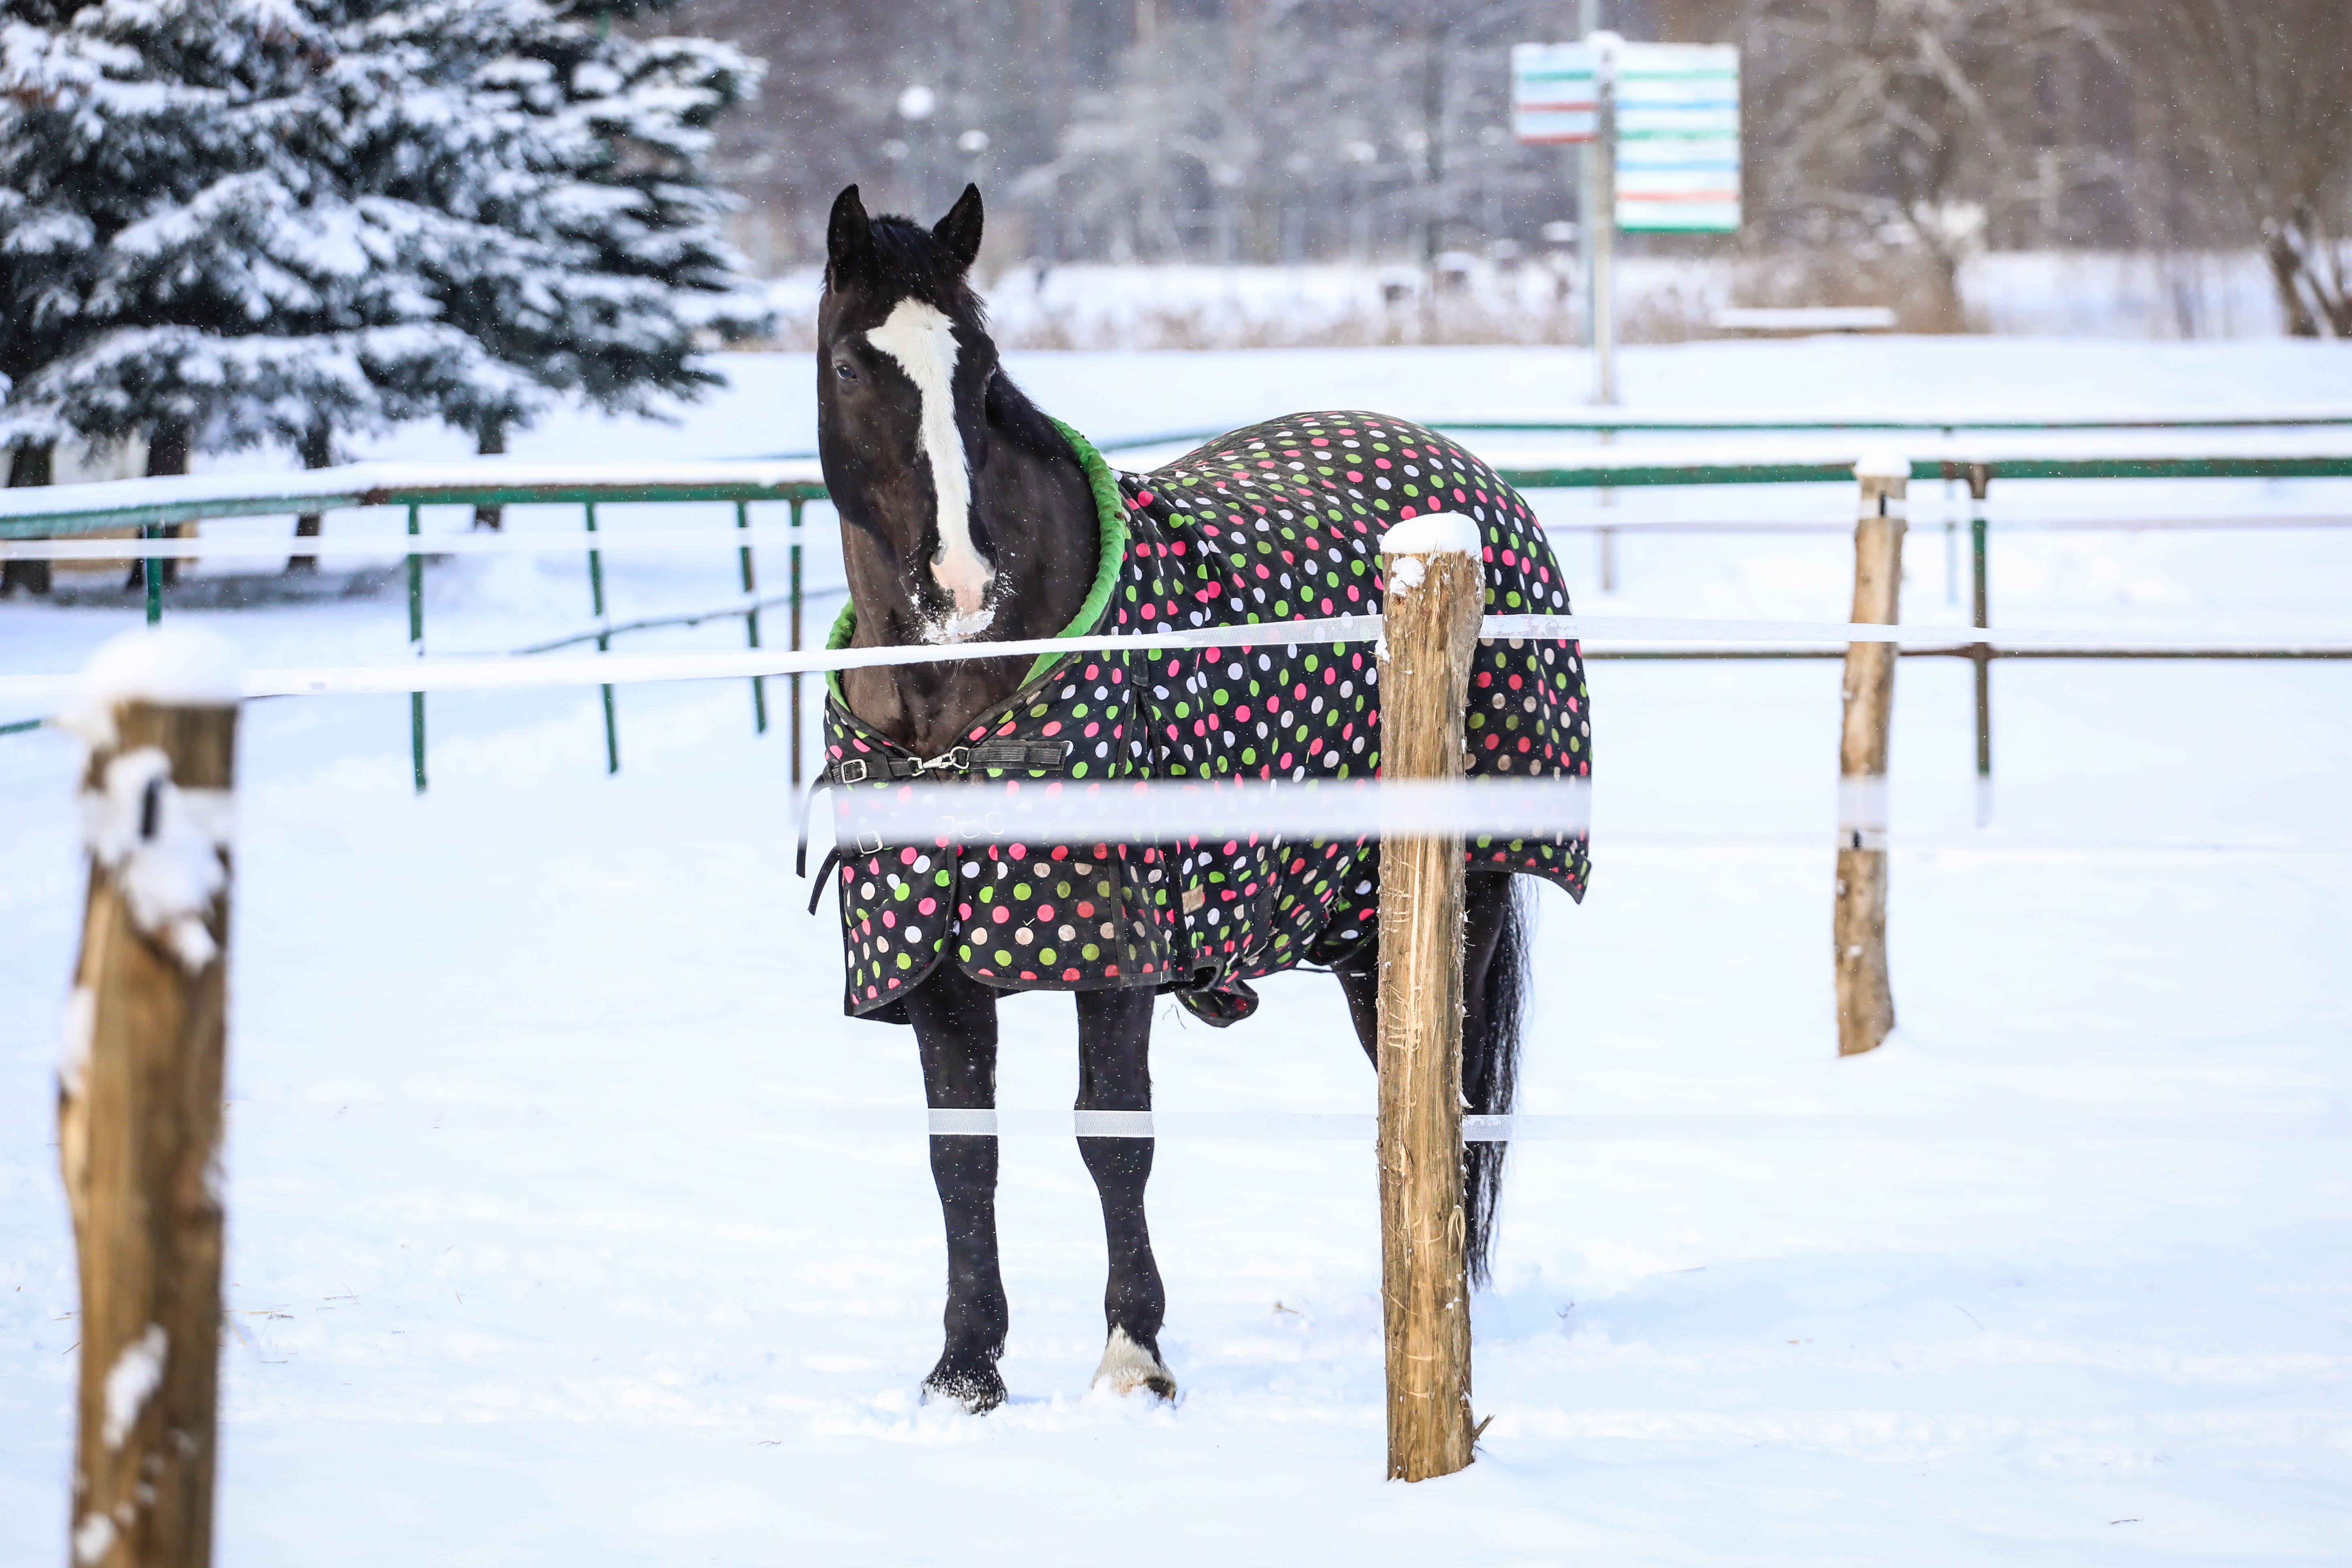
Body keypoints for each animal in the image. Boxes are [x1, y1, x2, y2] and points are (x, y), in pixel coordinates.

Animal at [811, 183, 1591, 1413]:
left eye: (982, 367)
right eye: (851, 364)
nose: (961, 585)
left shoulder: (1115, 956)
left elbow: (1112, 1134)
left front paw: (1133, 1358)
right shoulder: (936, 962)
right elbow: (962, 1154)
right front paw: (964, 1370)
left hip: (1449, 908)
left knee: (1446, 1101)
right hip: (1361, 932)